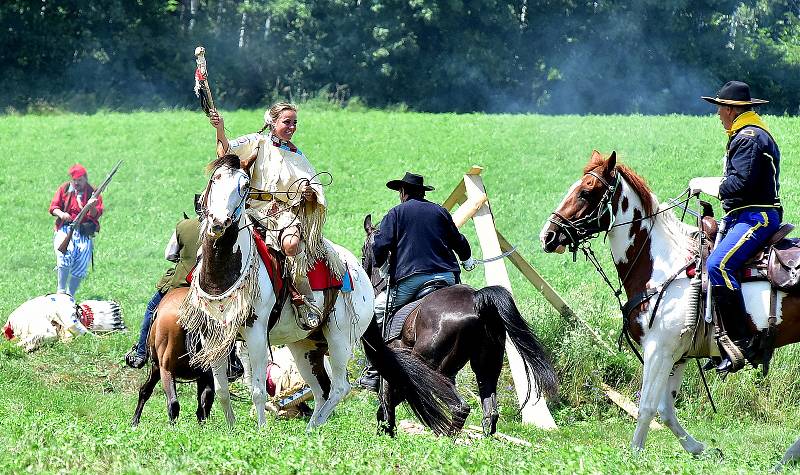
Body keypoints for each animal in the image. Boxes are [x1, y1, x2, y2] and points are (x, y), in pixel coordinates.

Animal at [130, 286, 214, 428]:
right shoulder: (203, 374)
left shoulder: (157, 367)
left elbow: (145, 391)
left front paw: (135, 420)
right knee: (205, 398)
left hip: (166, 370)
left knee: (173, 402)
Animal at [360, 214, 556, 436]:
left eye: (364, 253)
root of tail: (476, 299)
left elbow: (387, 404)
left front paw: (386, 434)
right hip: (485, 366)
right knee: (490, 413)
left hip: (433, 367)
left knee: (459, 407)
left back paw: (444, 440)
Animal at [536, 153, 800, 464]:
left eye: (586, 192)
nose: (548, 236)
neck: (665, 262)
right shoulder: (677, 356)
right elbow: (666, 409)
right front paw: (699, 449)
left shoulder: (659, 350)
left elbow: (647, 406)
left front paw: (634, 455)